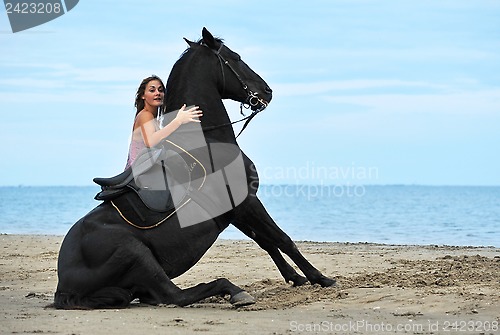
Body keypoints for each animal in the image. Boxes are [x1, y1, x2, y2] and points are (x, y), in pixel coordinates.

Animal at [54, 28, 334, 310]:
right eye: (236, 57)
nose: (267, 91)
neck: (207, 140)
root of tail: (63, 286)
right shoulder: (247, 202)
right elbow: (282, 239)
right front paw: (320, 278)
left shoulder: (237, 210)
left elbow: (266, 241)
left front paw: (295, 278)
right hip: (135, 253)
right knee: (175, 295)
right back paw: (233, 291)